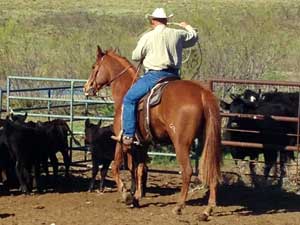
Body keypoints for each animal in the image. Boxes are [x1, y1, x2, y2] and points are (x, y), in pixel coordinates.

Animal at [83, 46, 221, 221]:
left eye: (94, 66)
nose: (86, 87)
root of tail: (202, 94)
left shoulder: (122, 140)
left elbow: (117, 167)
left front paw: (126, 195)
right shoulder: (143, 144)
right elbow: (140, 168)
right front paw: (136, 197)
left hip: (181, 144)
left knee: (187, 171)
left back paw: (178, 206)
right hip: (207, 141)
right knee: (212, 169)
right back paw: (207, 210)